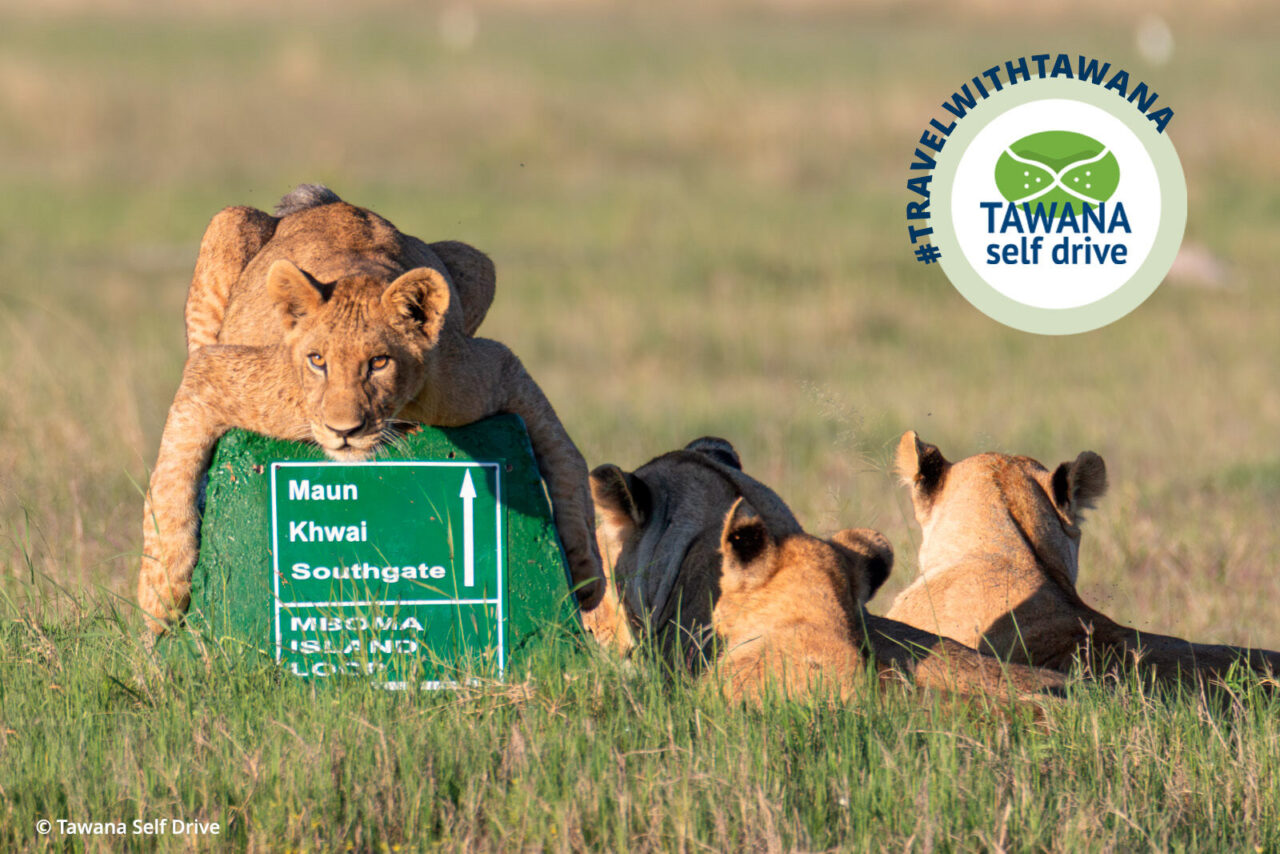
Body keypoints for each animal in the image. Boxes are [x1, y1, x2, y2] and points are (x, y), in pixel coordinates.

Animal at [138, 185, 602, 632]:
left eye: (379, 362)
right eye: (317, 360)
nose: (344, 431)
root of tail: (334, 202)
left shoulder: (486, 375)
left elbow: (567, 460)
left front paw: (587, 577)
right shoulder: (215, 371)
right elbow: (169, 480)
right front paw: (158, 602)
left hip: (474, 260)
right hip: (227, 227)